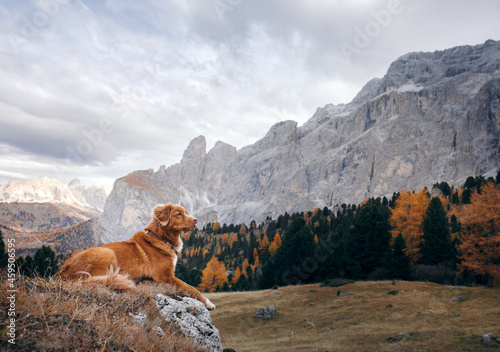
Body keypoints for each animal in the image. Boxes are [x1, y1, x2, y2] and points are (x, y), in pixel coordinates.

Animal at [57, 204, 216, 310]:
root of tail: (64, 271)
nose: (196, 220)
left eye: (186, 213)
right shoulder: (165, 276)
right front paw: (208, 303)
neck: (160, 238)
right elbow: (191, 288)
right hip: (107, 253)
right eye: (178, 214)